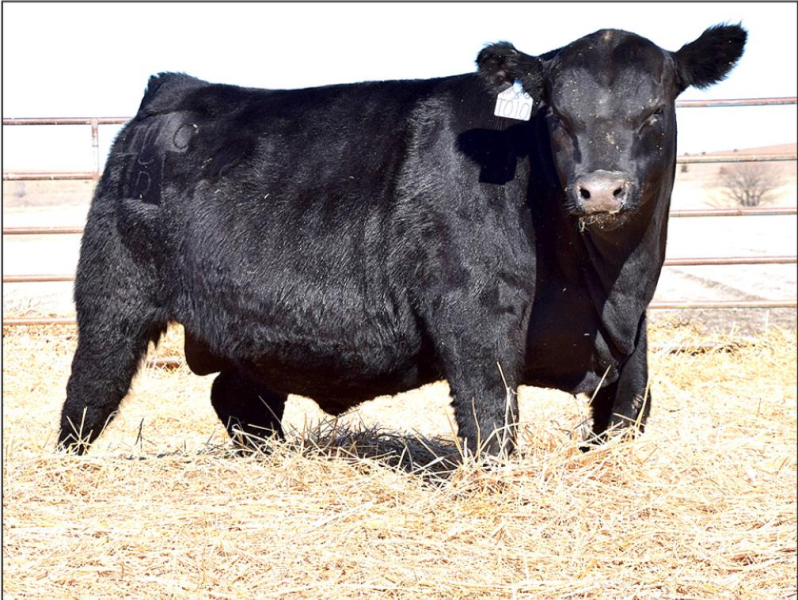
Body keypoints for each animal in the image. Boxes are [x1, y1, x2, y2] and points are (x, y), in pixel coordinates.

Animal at [58, 25, 746, 456]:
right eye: (555, 112)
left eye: (655, 110)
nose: (600, 191)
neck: (605, 289)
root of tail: (176, 88)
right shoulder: (473, 315)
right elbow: (491, 421)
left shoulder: (633, 341)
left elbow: (631, 412)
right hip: (112, 302)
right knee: (87, 398)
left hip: (253, 335)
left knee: (240, 399)